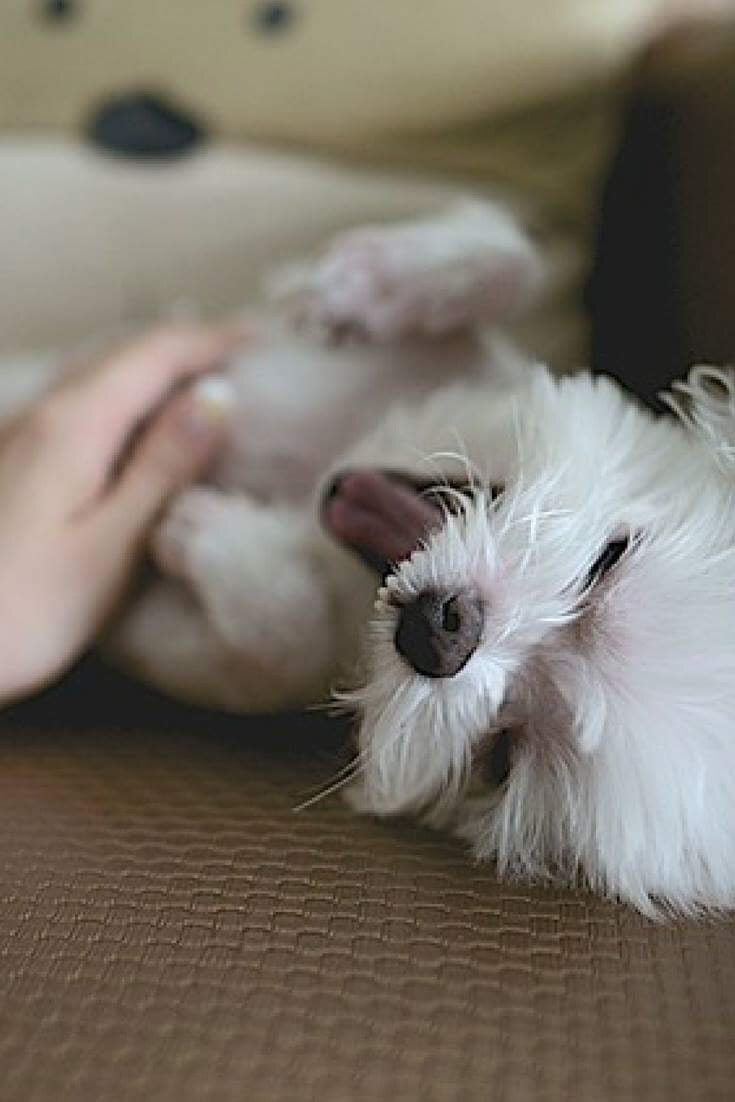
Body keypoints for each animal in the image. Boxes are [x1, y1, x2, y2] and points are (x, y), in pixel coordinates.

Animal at [7, 196, 735, 912]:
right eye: (607, 561)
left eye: (502, 753)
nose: (442, 632)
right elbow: (508, 257)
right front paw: (368, 284)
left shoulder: (215, 652)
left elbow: (283, 635)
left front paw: (210, 531)